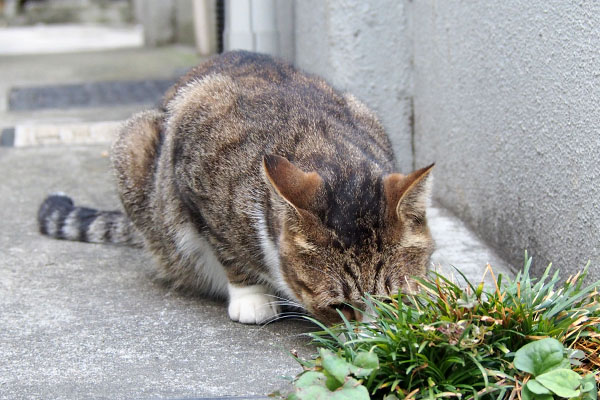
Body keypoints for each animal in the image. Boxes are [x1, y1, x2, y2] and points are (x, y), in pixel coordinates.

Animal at [39, 50, 436, 324]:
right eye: (338, 307)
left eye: (394, 300)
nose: (373, 336)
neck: (323, 146)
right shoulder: (192, 168)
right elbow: (226, 248)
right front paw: (252, 298)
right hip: (134, 143)